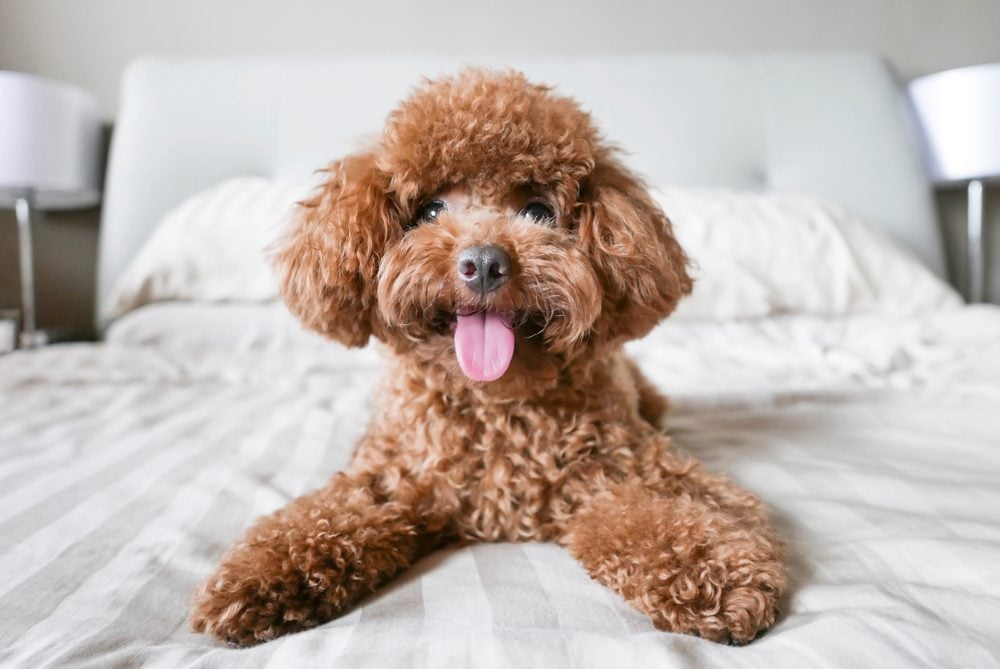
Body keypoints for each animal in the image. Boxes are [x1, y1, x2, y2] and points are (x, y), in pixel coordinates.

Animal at [191, 69, 784, 648]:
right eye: (429, 209)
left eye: (538, 210)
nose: (483, 263)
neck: (496, 405)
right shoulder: (390, 482)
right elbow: (322, 518)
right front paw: (256, 578)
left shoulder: (630, 469)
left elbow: (668, 516)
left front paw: (717, 573)